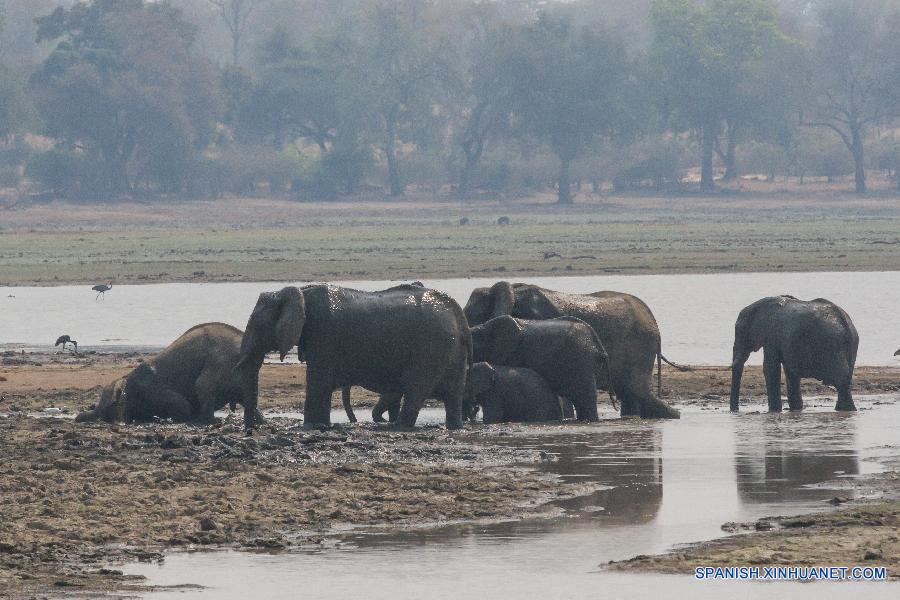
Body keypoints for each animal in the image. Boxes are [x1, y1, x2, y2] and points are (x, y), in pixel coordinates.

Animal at [236, 286, 472, 432]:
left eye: (257, 325)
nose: (252, 429)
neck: (301, 293)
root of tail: (457, 313)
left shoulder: (323, 334)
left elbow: (319, 383)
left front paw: (313, 426)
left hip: (430, 349)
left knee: (416, 390)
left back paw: (397, 427)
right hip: (450, 350)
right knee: (453, 395)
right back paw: (454, 427)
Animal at [728, 296, 860, 412]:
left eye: (739, 331)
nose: (735, 411)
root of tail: (846, 323)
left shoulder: (771, 336)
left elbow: (770, 369)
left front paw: (774, 411)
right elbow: (790, 372)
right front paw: (796, 409)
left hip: (832, 346)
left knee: (841, 381)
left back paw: (847, 410)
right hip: (850, 347)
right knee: (845, 379)